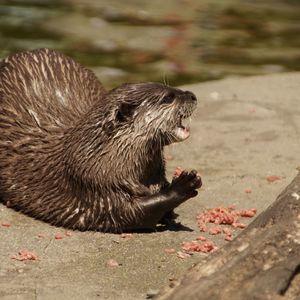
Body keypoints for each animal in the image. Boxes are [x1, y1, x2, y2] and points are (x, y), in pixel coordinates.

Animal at [0, 48, 202, 232]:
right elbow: (136, 213)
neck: (100, 156)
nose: (192, 95)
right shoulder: (96, 187)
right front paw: (183, 185)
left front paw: (172, 211)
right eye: (168, 97)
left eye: (172, 87)